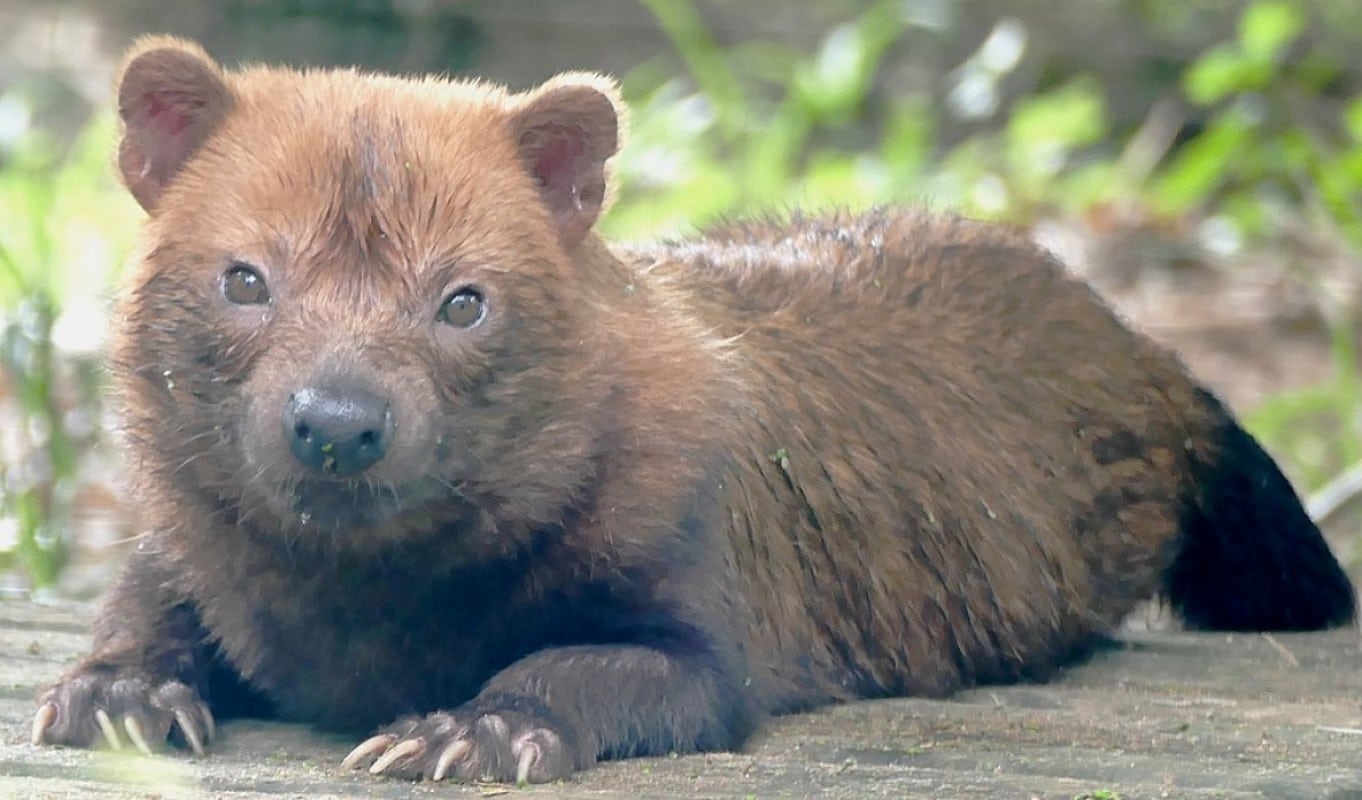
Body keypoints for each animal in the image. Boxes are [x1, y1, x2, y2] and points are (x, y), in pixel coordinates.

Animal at [29, 39, 1351, 790]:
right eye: (246, 278)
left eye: (462, 298)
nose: (339, 421)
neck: (361, 620)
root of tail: (1142, 349)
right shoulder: (183, 546)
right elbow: (137, 603)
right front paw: (117, 696)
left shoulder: (702, 625)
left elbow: (578, 666)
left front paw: (469, 728)